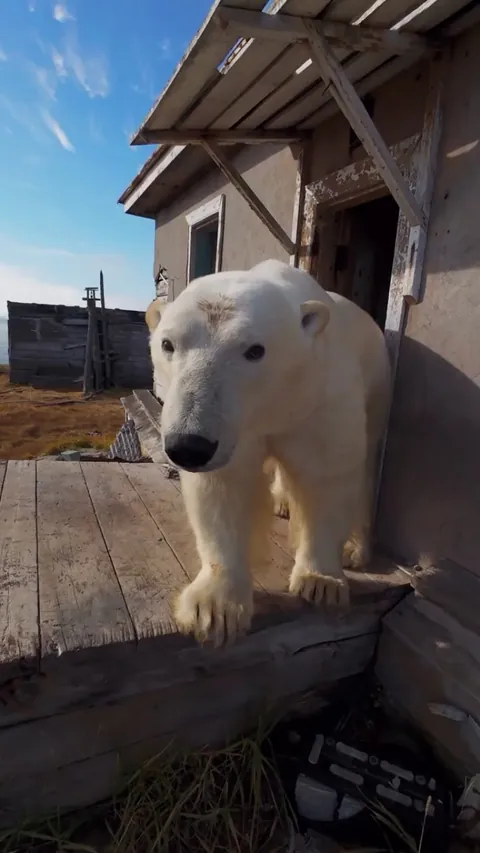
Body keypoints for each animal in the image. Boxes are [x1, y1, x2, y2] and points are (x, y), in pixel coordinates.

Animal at [146, 259, 391, 646]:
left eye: (255, 350)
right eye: (168, 344)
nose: (188, 446)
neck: (272, 404)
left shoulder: (320, 398)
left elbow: (328, 477)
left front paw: (320, 581)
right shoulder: (235, 430)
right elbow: (225, 487)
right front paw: (214, 610)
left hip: (378, 384)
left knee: (367, 468)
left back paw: (355, 548)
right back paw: (282, 502)